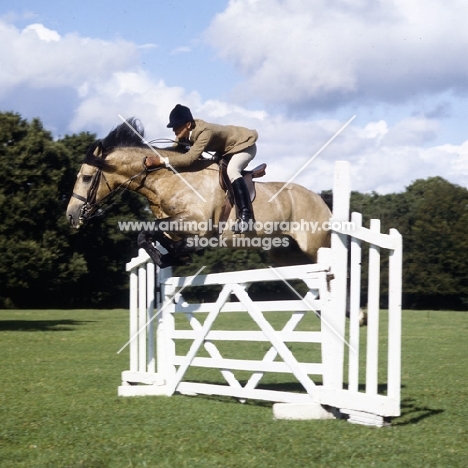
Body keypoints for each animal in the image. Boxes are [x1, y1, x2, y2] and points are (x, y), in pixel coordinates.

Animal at [66, 119, 332, 268]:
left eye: (86, 178)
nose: (71, 216)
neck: (169, 179)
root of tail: (320, 200)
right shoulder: (175, 224)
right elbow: (152, 234)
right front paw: (175, 257)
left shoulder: (197, 222)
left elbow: (151, 231)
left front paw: (170, 256)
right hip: (284, 252)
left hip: (314, 246)